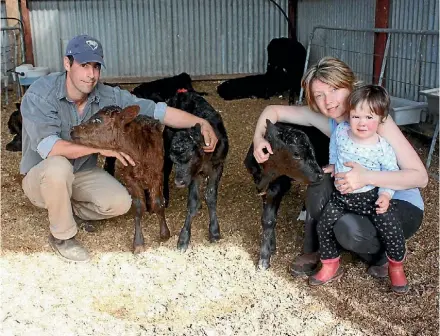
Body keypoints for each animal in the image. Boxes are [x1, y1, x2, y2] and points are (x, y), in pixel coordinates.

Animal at [244, 119, 330, 270]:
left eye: (312, 150)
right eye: (296, 153)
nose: (319, 174)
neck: (267, 175)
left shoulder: (279, 186)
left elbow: (269, 219)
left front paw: (264, 259)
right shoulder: (263, 187)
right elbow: (266, 218)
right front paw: (271, 246)